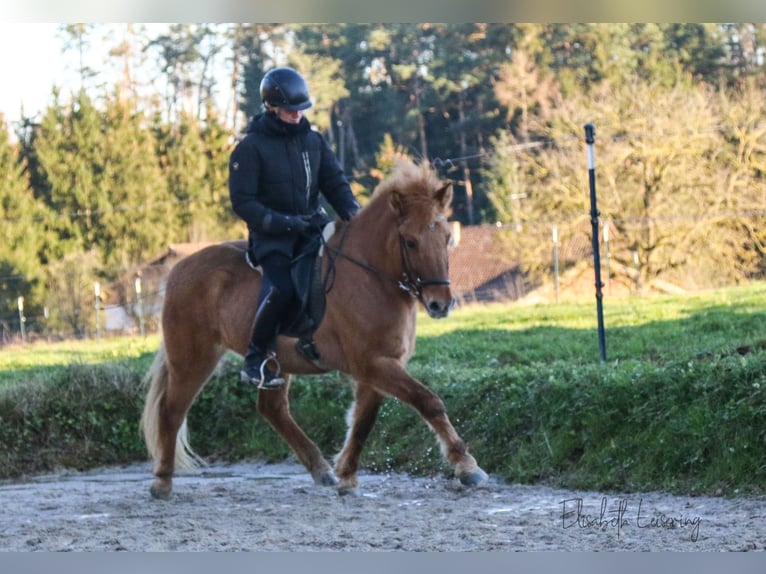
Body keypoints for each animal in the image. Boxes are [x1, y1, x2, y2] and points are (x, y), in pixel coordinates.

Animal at [140, 158, 488, 500]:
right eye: (411, 242)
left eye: (446, 237)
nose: (440, 304)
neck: (372, 278)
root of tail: (178, 271)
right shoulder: (373, 363)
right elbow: (427, 401)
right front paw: (467, 467)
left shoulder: (378, 365)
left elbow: (363, 420)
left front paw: (346, 475)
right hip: (193, 358)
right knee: (171, 411)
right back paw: (162, 482)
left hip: (274, 363)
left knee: (272, 409)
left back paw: (321, 470)